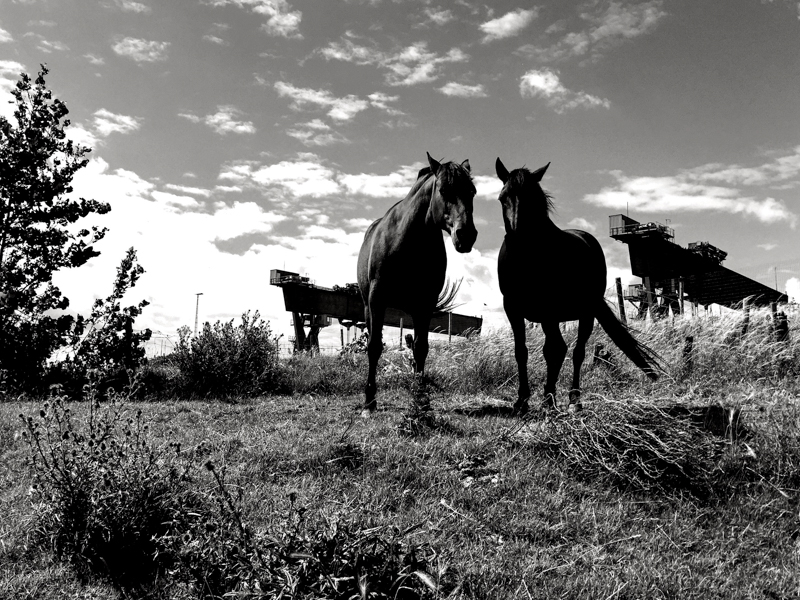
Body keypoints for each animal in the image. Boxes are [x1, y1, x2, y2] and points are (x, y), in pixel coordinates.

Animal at [356, 152, 476, 414]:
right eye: (443, 190)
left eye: (472, 191)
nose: (466, 235)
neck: (408, 241)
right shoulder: (377, 299)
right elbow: (374, 346)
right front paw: (369, 401)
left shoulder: (425, 304)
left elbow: (421, 348)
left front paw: (421, 399)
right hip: (368, 306)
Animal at [494, 157, 664, 414]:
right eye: (503, 197)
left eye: (532, 199)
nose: (516, 237)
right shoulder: (512, 308)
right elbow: (521, 351)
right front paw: (522, 400)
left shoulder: (549, 310)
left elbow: (553, 351)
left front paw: (548, 399)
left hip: (585, 313)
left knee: (575, 352)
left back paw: (572, 398)